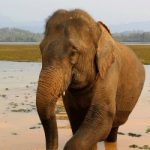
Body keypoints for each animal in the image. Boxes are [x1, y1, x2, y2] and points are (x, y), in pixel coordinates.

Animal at [35, 8, 145, 149]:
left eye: (74, 52)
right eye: (41, 49)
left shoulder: (109, 70)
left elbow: (102, 117)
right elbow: (76, 119)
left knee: (112, 128)